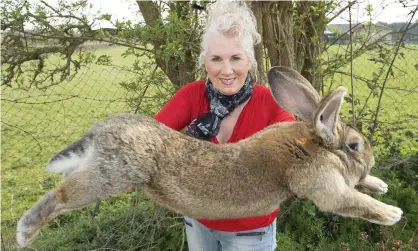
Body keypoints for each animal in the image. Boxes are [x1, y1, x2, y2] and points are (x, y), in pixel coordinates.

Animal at [15, 65, 402, 248]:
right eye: (354, 146)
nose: (371, 159)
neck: (312, 144)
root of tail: (101, 131)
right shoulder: (324, 186)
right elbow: (352, 202)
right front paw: (391, 213)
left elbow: (359, 188)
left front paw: (379, 184)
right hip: (110, 176)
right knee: (61, 195)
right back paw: (25, 232)